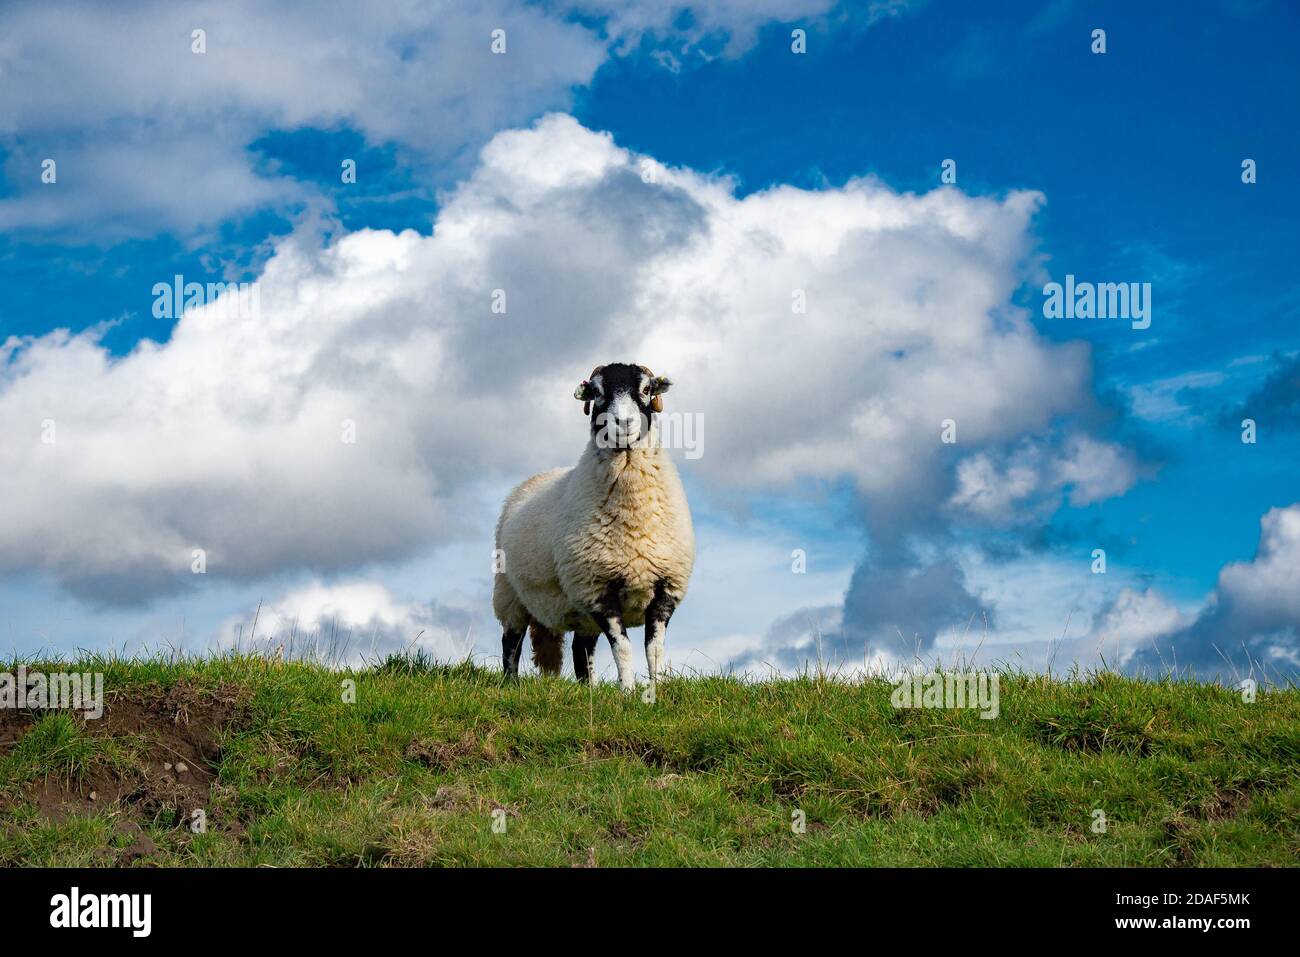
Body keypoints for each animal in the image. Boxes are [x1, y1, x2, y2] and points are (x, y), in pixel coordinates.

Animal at [488, 361, 696, 691]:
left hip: (579, 614)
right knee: (511, 641)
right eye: (597, 393)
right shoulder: (597, 589)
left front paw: (655, 691)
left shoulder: (665, 589)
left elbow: (654, 650)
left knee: (580, 649)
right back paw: (511, 684)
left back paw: (590, 689)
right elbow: (623, 648)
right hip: (509, 593)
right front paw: (628, 692)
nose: (622, 423)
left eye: (646, 389)